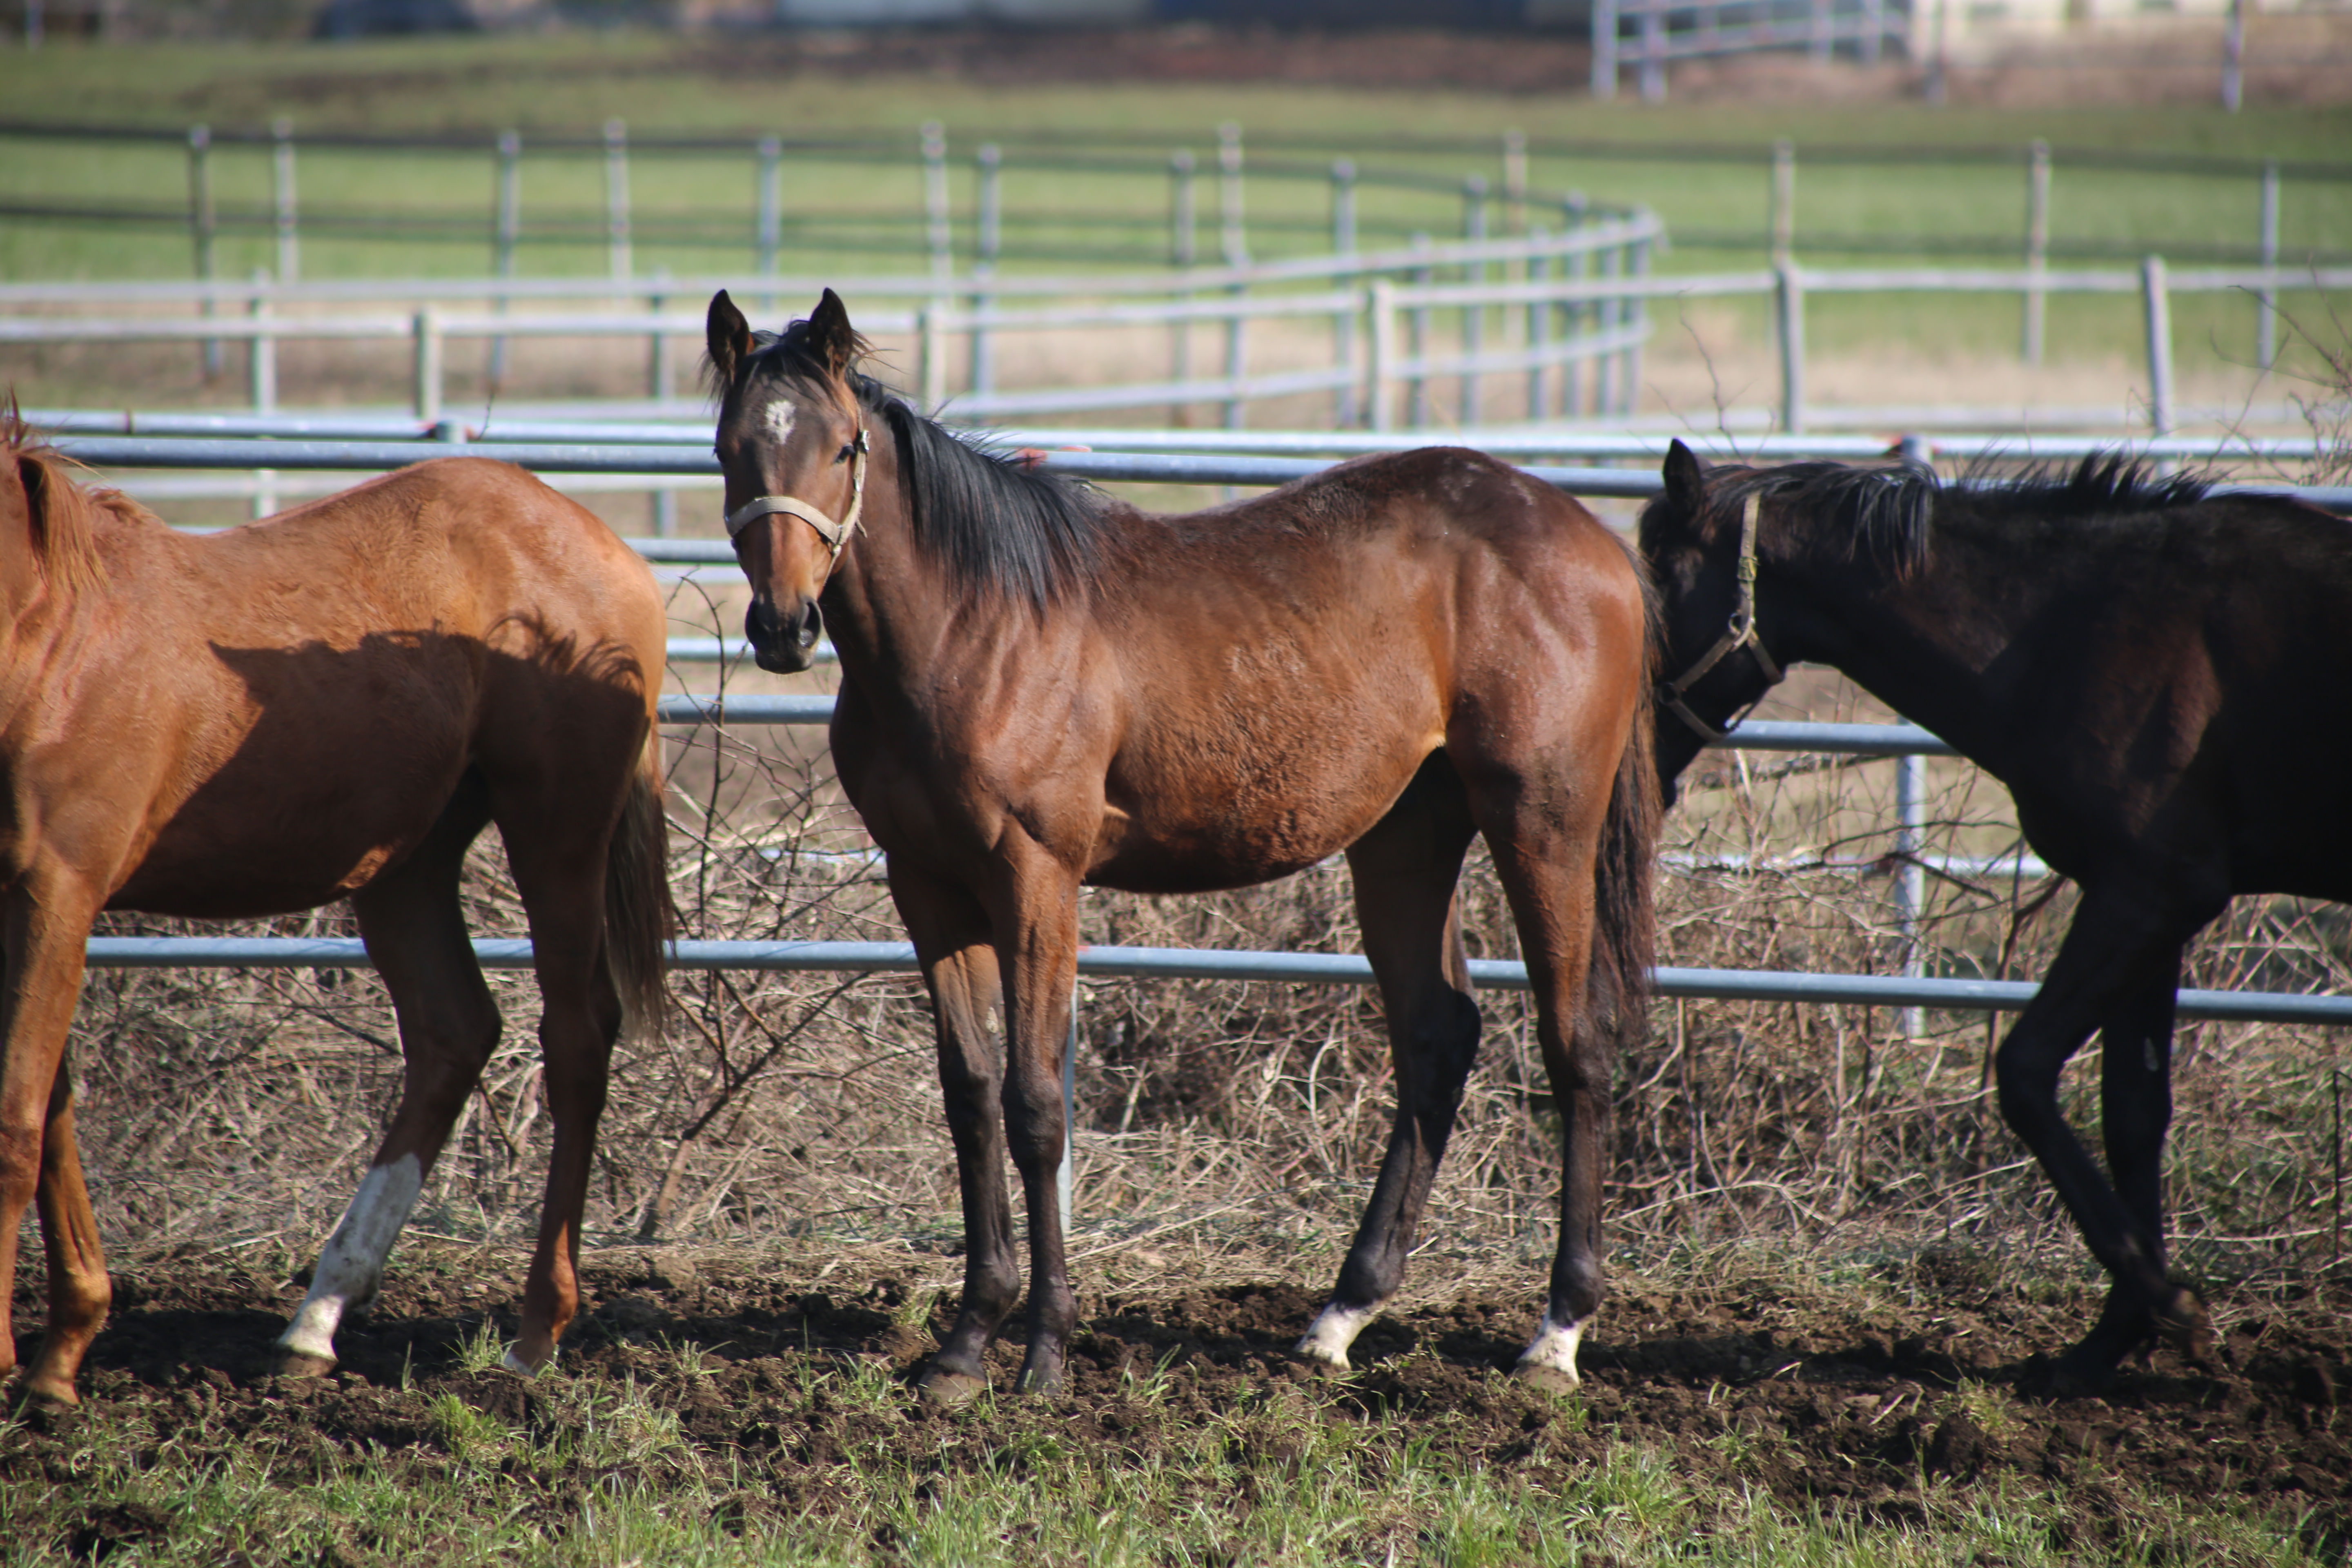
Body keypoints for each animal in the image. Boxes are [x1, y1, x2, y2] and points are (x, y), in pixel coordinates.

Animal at [0, 421, 668, 1410]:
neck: (50, 636)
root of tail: (600, 539)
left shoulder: (57, 891)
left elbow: (18, 1119)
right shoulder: (32, 904)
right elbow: (53, 1112)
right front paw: (60, 1355)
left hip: (557, 836)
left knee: (576, 1040)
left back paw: (535, 1329)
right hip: (407, 866)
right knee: (453, 1032)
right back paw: (317, 1318)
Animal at [706, 291, 1665, 1401]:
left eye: (842, 445)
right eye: (731, 448)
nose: (782, 627)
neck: (971, 626)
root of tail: (1590, 536)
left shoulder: (1035, 880)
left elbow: (1036, 1106)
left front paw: (1044, 1350)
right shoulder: (929, 887)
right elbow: (970, 1097)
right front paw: (963, 1344)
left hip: (1543, 823)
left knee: (1576, 1043)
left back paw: (1555, 1332)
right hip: (1404, 838)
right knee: (1438, 1036)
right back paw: (1341, 1314)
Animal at [1637, 435, 2352, 1392]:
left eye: (1655, 586)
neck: (2070, 628)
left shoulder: (2148, 893)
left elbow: (2024, 1072)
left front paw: (2173, 1310)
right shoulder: (2150, 908)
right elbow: (2133, 1113)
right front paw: (2110, 1341)